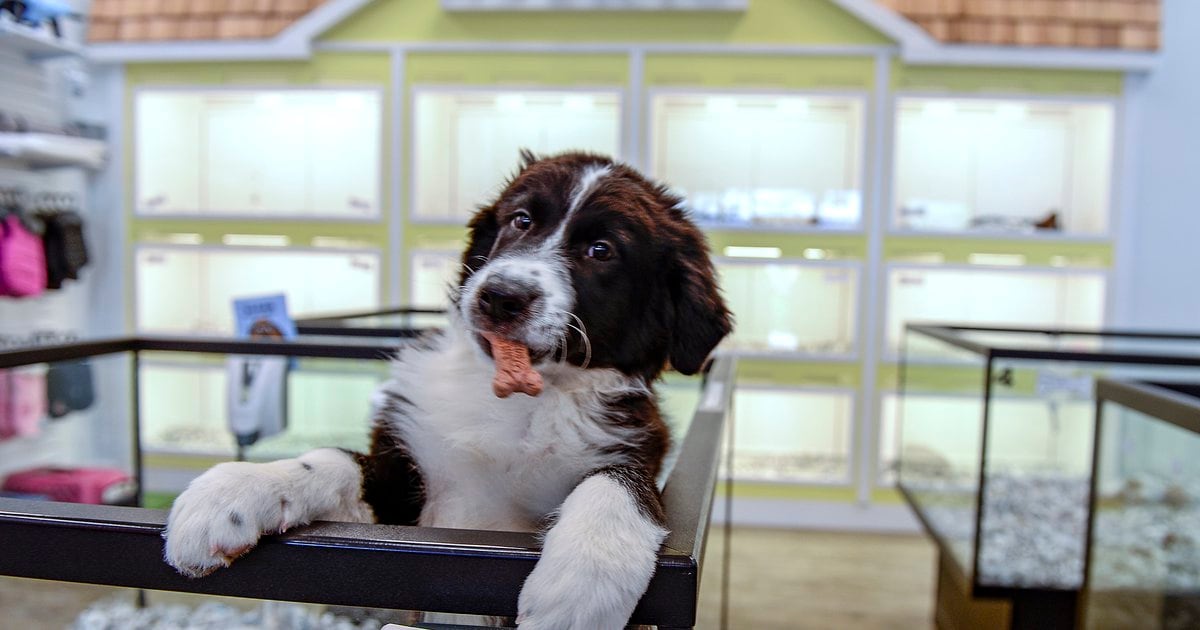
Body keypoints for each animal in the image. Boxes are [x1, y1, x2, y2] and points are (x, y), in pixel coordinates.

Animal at [162, 152, 729, 628]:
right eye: (521, 220)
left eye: (601, 250)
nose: (501, 296)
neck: (522, 401)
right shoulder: (403, 493)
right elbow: (334, 461)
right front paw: (234, 491)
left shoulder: (637, 445)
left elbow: (621, 483)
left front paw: (581, 582)